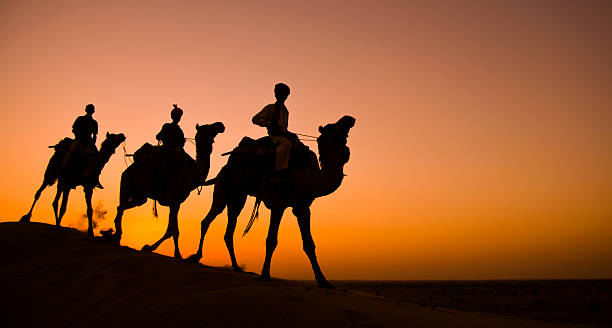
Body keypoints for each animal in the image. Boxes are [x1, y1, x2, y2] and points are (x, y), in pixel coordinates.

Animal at [107, 121, 225, 260]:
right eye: (208, 127)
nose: (221, 125)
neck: (190, 175)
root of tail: (130, 167)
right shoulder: (173, 201)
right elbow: (174, 230)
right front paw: (177, 254)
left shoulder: (177, 203)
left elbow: (170, 230)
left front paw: (149, 247)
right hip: (126, 182)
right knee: (121, 206)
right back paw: (116, 237)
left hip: (139, 196)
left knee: (122, 206)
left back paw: (114, 236)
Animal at [189, 114, 356, 288]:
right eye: (333, 127)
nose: (349, 119)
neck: (306, 177)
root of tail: (224, 168)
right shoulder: (278, 203)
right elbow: (271, 240)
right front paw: (264, 274)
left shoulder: (302, 207)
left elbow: (309, 244)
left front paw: (323, 281)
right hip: (223, 189)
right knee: (207, 219)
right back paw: (196, 257)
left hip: (238, 197)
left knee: (229, 230)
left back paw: (236, 267)